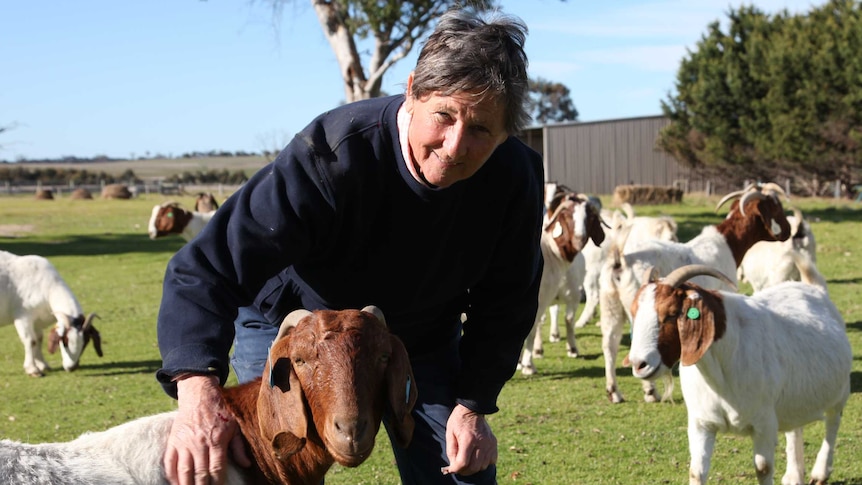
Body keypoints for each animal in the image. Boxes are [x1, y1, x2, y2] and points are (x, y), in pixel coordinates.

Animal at [0, 250, 102, 378]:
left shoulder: (37, 320)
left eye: (86, 341)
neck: (46, 286)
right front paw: (33, 370)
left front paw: (43, 365)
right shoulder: (22, 317)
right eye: (64, 341)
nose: (72, 367)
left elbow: (38, 339)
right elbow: (30, 340)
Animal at [520, 193, 608, 374]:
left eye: (589, 217)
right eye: (567, 216)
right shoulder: (539, 302)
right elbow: (531, 331)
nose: (580, 239)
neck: (551, 251)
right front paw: (528, 365)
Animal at [600, 183, 788, 402]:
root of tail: (620, 260)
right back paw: (651, 392)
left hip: (610, 305)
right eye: (776, 206)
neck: (727, 244)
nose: (788, 231)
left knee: (610, 344)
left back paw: (614, 392)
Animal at [624, 262, 852, 484]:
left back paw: (820, 473)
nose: (639, 364)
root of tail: (815, 289)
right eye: (633, 313)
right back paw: (794, 476)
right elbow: (696, 472)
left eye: (671, 314)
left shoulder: (764, 424)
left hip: (840, 392)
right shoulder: (701, 423)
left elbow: (763, 469)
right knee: (795, 428)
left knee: (833, 423)